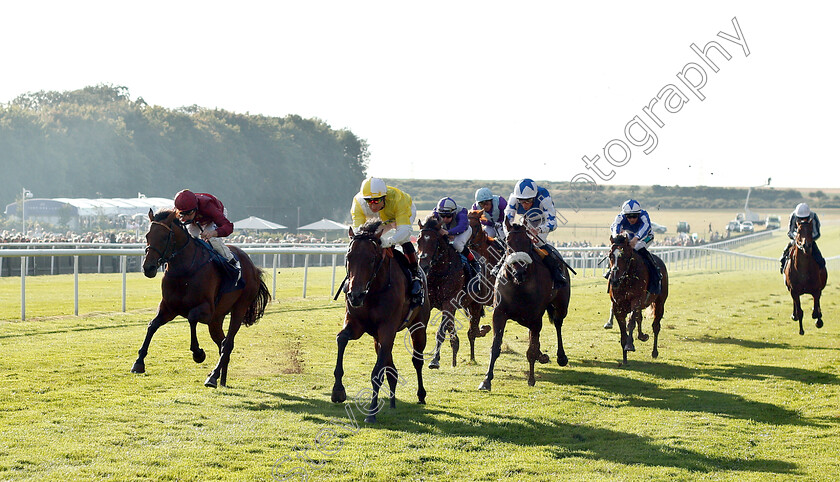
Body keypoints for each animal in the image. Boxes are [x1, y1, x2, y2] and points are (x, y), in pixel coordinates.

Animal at [132, 210, 270, 388]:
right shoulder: (168, 308)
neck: (184, 271)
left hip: (239, 308)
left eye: (163, 237)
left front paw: (198, 353)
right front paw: (138, 362)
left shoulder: (206, 310)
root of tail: (254, 268)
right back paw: (220, 379)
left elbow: (192, 319)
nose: (148, 268)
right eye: (147, 235)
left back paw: (213, 377)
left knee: (228, 343)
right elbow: (152, 325)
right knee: (222, 343)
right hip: (216, 319)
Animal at [330, 221, 430, 422]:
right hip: (377, 336)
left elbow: (377, 372)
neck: (374, 290)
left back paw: (421, 394)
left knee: (417, 360)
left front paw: (371, 413)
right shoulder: (356, 324)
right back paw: (392, 402)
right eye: (349, 257)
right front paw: (337, 390)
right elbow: (341, 339)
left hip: (419, 327)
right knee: (390, 366)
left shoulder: (387, 328)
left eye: (371, 259)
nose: (355, 295)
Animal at [418, 215, 496, 370]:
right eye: (418, 241)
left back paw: (473, 351)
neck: (439, 271)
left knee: (472, 330)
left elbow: (441, 331)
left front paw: (434, 360)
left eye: (434, 242)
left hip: (475, 304)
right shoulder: (432, 303)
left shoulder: (449, 303)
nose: (423, 266)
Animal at [480, 220, 572, 390]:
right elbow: (496, 346)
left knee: (558, 323)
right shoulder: (499, 313)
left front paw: (531, 378)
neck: (520, 286)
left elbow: (531, 350)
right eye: (507, 243)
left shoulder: (535, 317)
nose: (520, 272)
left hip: (561, 305)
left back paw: (561, 357)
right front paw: (486, 380)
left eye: (528, 242)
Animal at [608, 234, 668, 366]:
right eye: (610, 255)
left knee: (656, 326)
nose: (614, 280)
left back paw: (654, 352)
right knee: (639, 318)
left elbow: (631, 321)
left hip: (660, 302)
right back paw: (642, 336)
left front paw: (629, 345)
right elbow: (623, 328)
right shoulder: (617, 306)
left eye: (624, 256)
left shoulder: (636, 300)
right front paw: (624, 357)